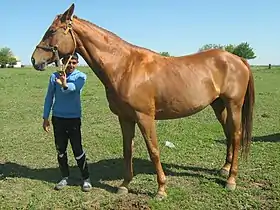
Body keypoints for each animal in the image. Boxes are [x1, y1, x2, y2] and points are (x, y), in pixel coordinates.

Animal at [30, 4, 254, 199]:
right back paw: (225, 169)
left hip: (233, 105)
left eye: (51, 31)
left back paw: (231, 180)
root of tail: (238, 59)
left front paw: (161, 190)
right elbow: (127, 150)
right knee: (228, 133)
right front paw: (124, 185)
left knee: (236, 135)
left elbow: (153, 150)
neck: (125, 66)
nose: (34, 60)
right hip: (218, 105)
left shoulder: (145, 117)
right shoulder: (125, 118)